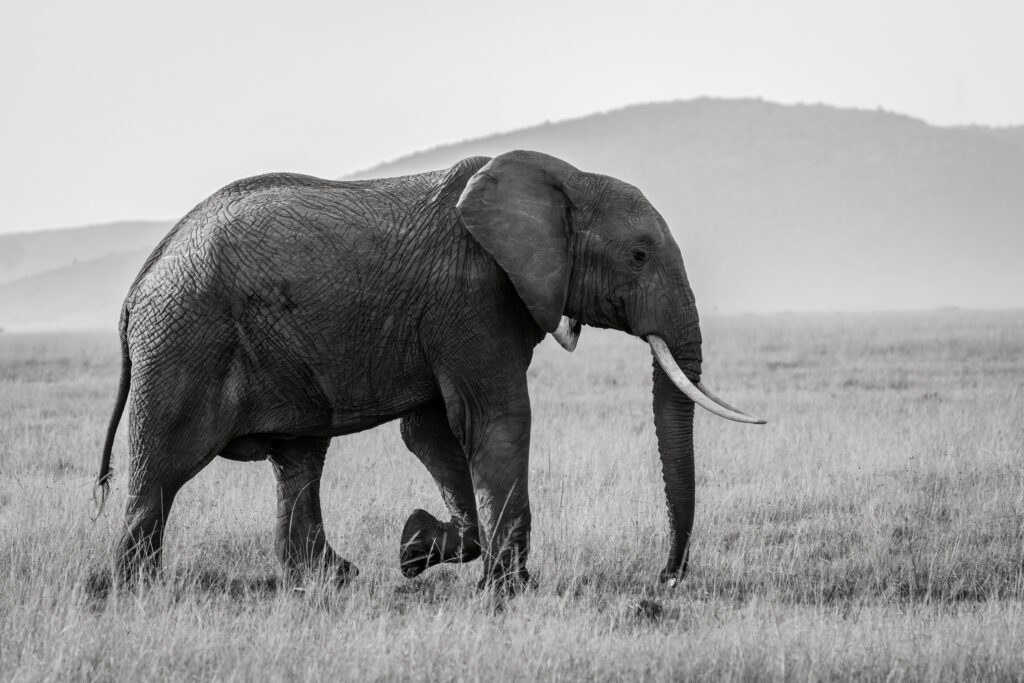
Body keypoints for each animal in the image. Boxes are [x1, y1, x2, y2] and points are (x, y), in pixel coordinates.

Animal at [94, 149, 761, 593]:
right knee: (161, 472)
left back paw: (332, 578)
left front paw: (414, 549)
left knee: (298, 459)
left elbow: (432, 431)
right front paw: (510, 591)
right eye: (640, 255)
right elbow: (494, 420)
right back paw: (136, 591)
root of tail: (138, 284)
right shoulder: (472, 297)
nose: (665, 580)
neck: (566, 180)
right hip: (183, 343)